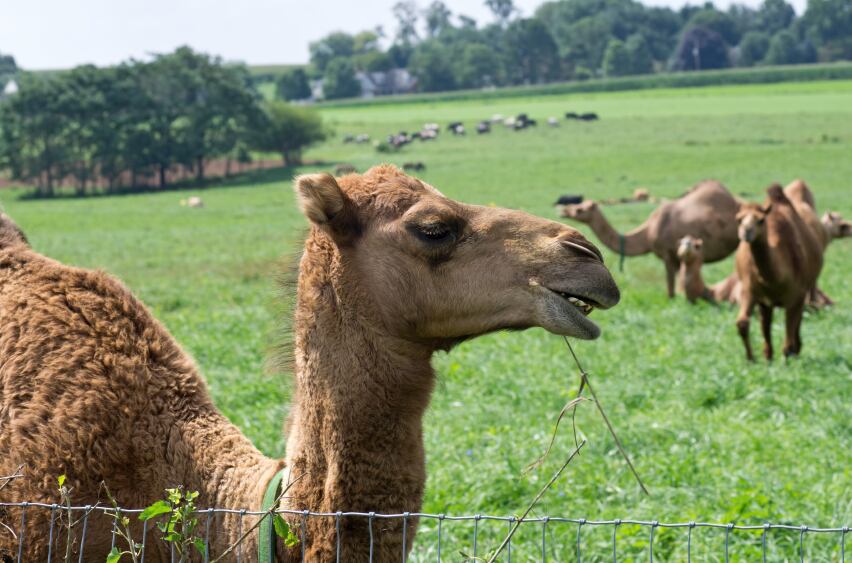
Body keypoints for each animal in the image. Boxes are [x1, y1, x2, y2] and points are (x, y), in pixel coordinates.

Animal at [560, 180, 740, 297]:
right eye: (576, 205)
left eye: (580, 209)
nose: (564, 210)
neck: (647, 234)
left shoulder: (668, 255)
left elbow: (671, 288)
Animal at [734, 185, 823, 361]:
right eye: (739, 219)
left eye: (760, 220)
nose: (746, 232)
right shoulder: (751, 290)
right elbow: (742, 323)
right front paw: (751, 359)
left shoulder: (795, 294)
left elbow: (788, 339)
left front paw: (788, 359)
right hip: (765, 302)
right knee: (766, 323)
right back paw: (769, 355)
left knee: (797, 321)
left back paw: (795, 349)